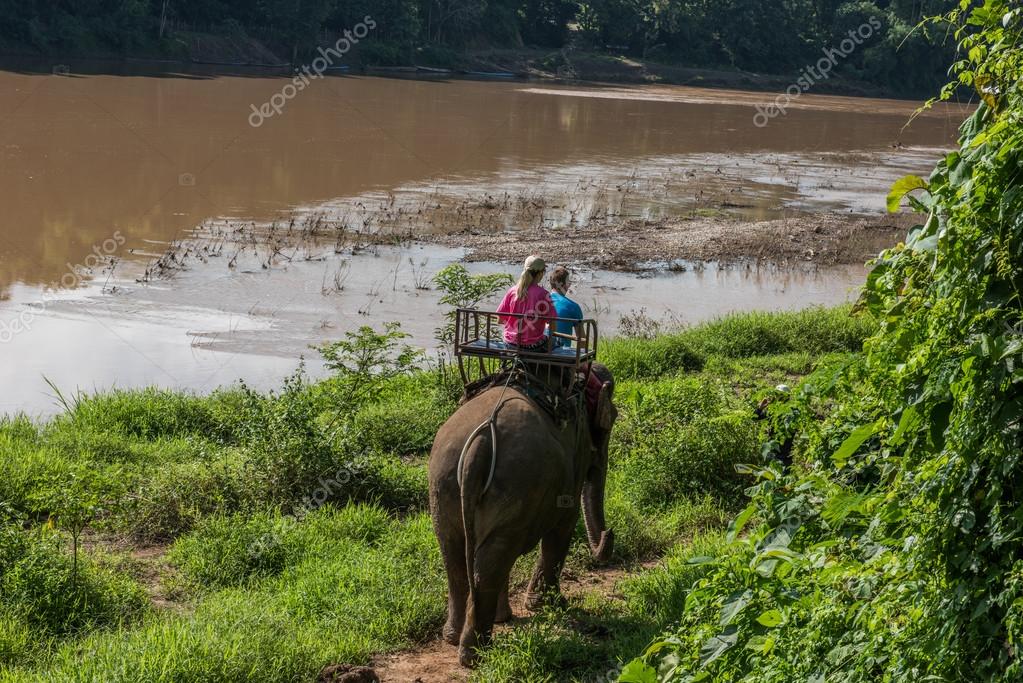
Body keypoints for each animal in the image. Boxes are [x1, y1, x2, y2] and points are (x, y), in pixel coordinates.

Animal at [428, 363, 617, 667]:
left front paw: (508, 617)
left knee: (458, 556)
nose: (609, 534)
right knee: (491, 560)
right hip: (518, 482)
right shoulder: (574, 456)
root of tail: (482, 440)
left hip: (443, 484)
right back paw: (475, 654)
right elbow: (564, 524)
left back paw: (454, 637)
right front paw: (552, 606)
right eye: (612, 420)